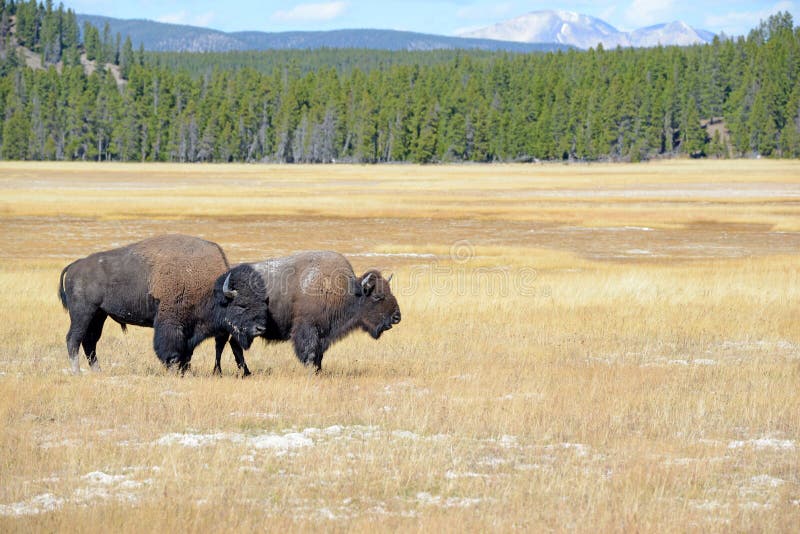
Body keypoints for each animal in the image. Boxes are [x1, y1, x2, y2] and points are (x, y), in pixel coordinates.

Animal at [59, 234, 268, 375]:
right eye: (241, 305)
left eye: (261, 303)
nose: (260, 328)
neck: (211, 288)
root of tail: (74, 265)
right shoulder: (171, 323)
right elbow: (172, 348)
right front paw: (174, 368)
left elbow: (188, 352)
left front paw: (185, 370)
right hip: (83, 313)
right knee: (73, 339)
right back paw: (77, 372)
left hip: (99, 315)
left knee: (90, 341)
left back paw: (97, 371)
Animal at [217, 251, 401, 373]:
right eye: (377, 296)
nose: (397, 317)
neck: (346, 291)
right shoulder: (308, 329)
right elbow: (310, 351)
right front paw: (311, 370)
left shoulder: (323, 334)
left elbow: (319, 354)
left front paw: (319, 370)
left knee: (234, 344)